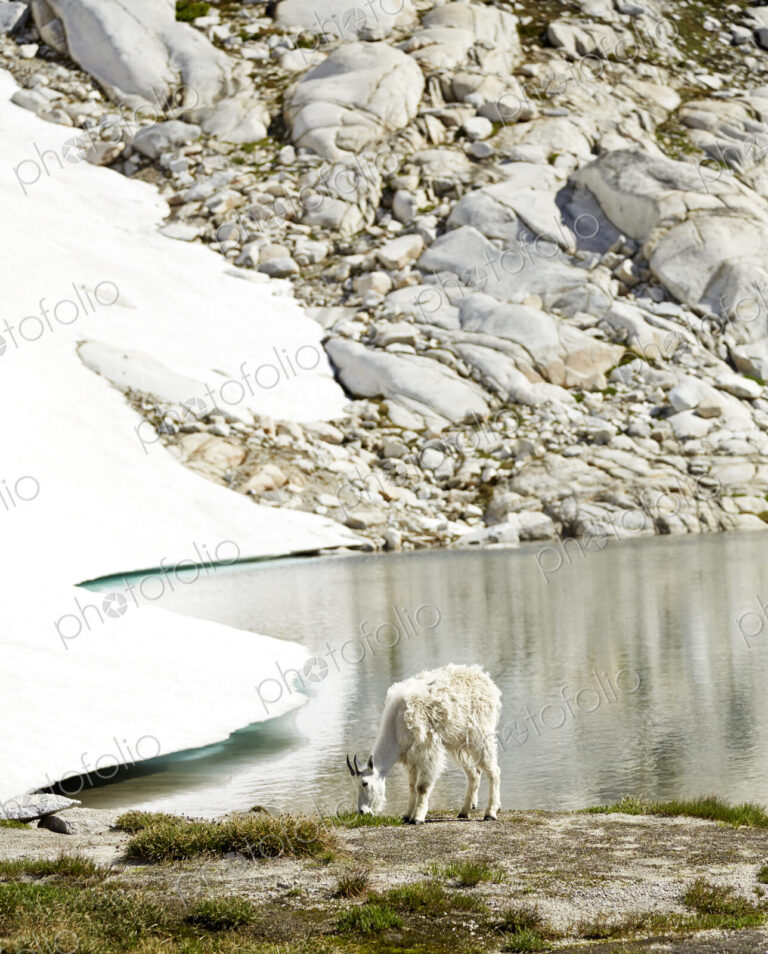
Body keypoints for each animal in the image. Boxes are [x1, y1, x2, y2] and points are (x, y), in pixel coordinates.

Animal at [346, 664, 501, 824]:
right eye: (354, 784)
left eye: (365, 783)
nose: (362, 811)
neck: (396, 726)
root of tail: (486, 680)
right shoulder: (411, 759)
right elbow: (411, 786)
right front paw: (406, 815)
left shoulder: (427, 749)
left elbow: (421, 787)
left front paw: (417, 817)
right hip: (458, 742)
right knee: (474, 774)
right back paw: (464, 811)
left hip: (481, 733)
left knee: (493, 771)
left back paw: (490, 812)